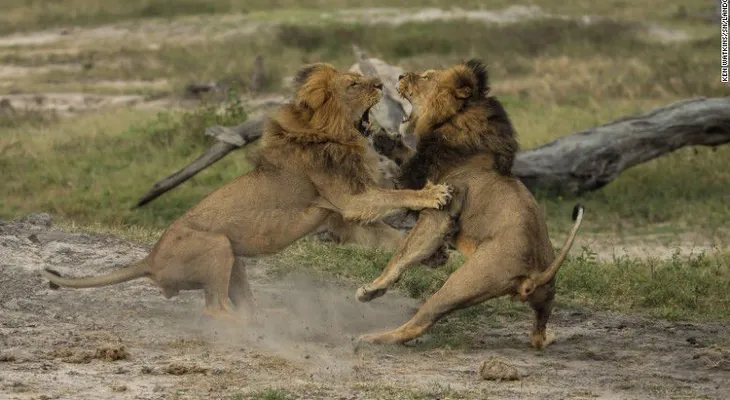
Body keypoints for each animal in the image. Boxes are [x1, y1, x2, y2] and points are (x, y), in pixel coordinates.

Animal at [40, 63, 454, 322]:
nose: (382, 85)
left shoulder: (341, 219)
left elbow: (387, 237)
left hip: (232, 256)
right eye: (354, 84)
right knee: (214, 309)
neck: (333, 136)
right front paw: (432, 194)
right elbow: (391, 199)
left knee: (236, 303)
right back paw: (253, 329)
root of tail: (149, 258)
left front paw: (433, 256)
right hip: (216, 246)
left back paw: (268, 315)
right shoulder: (350, 200)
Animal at [354, 59, 584, 349]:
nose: (401, 75)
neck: (450, 123)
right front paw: (384, 140)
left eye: (427, 76)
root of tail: (535, 274)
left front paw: (372, 289)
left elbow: (403, 255)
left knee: (419, 322)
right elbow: (406, 156)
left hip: (461, 283)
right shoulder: (423, 173)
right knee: (539, 334)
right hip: (545, 298)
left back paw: (373, 337)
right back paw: (546, 336)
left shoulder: (440, 212)